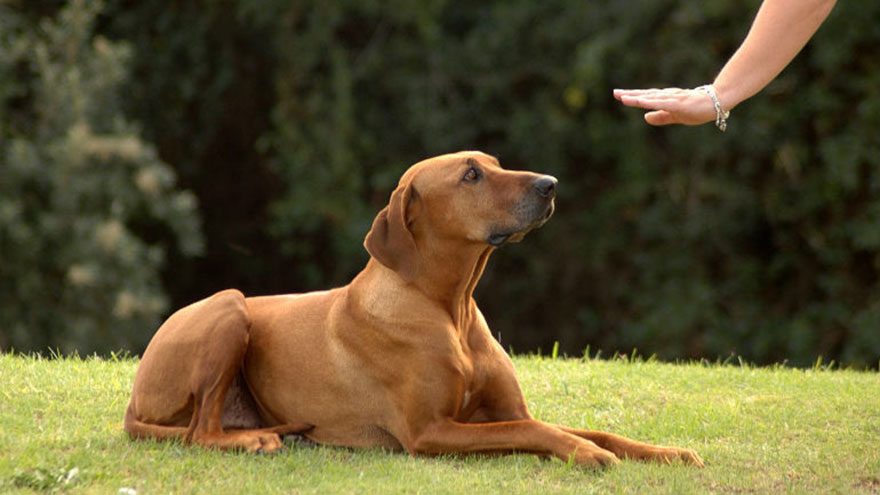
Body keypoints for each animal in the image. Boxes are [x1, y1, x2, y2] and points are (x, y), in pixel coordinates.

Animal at [122, 151, 700, 468]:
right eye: (471, 175)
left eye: (495, 164)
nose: (550, 184)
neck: (450, 308)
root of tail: (132, 401)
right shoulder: (429, 431)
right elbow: (535, 433)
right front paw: (586, 455)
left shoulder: (508, 410)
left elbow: (590, 429)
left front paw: (666, 453)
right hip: (229, 306)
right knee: (199, 432)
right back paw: (255, 440)